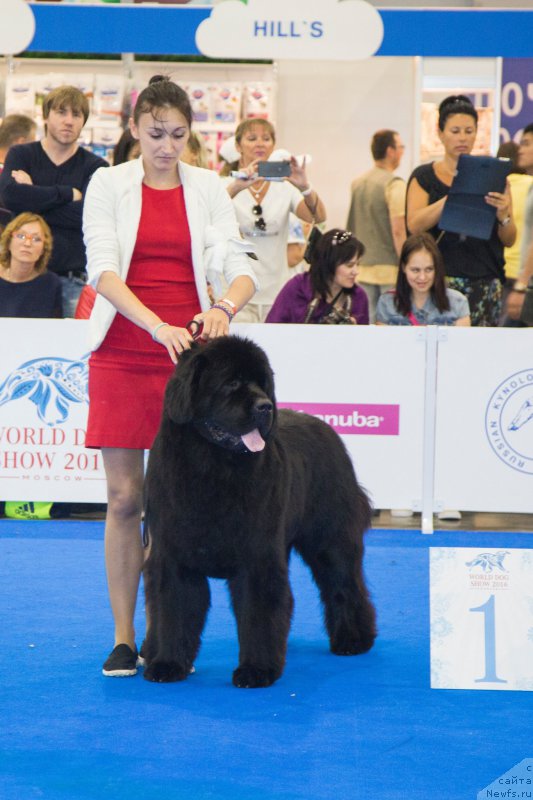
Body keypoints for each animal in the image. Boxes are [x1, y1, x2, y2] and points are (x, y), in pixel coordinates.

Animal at [141, 334, 374, 684]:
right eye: (232, 382)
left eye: (262, 384)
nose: (265, 407)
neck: (212, 469)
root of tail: (328, 430)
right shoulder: (173, 555)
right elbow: (174, 609)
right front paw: (168, 664)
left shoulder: (258, 556)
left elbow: (258, 610)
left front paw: (256, 670)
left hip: (329, 539)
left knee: (344, 584)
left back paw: (354, 640)